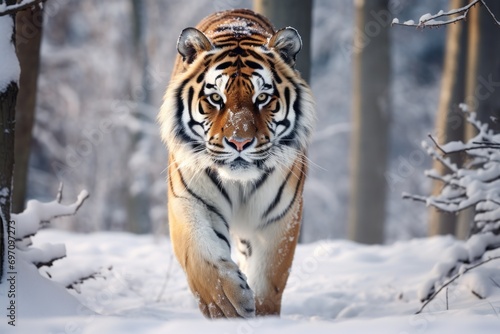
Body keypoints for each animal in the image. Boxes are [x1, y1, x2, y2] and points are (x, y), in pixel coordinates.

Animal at [158, 8, 314, 318]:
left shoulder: (279, 217)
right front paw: (227, 305)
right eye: (215, 98)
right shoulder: (190, 201)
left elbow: (269, 277)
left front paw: (263, 316)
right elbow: (201, 256)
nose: (239, 142)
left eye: (262, 97)